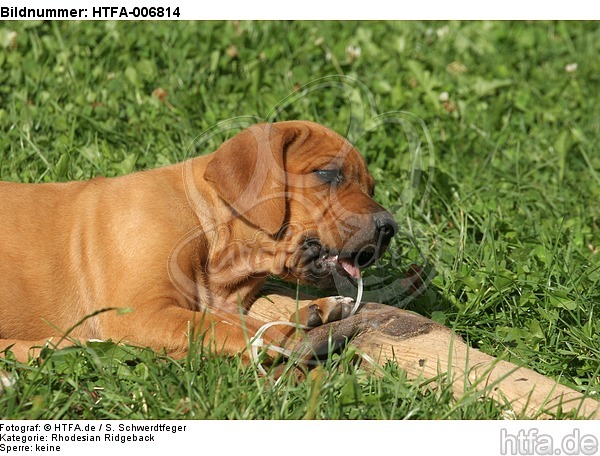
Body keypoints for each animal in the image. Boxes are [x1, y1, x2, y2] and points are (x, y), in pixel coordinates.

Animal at [0, 121, 398, 364]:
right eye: (327, 173)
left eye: (371, 187)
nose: (389, 227)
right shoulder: (138, 314)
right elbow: (222, 326)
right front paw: (290, 334)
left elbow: (228, 319)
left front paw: (313, 312)